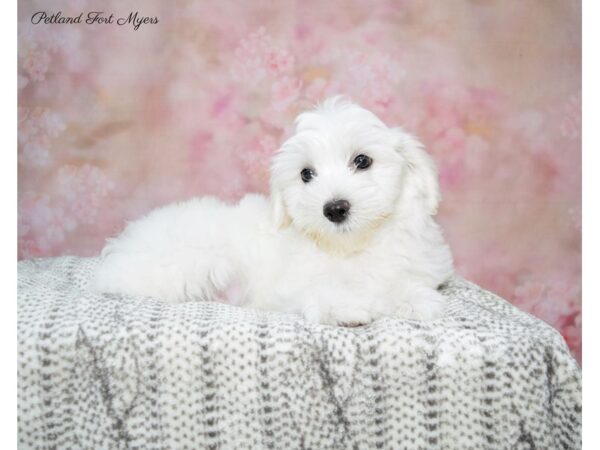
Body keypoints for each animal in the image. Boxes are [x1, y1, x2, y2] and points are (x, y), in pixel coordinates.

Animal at [91, 96, 452, 326]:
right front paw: (344, 307)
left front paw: (413, 299)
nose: (335, 209)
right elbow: (323, 290)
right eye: (306, 174)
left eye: (362, 160)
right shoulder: (286, 289)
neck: (351, 248)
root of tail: (121, 249)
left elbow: (400, 283)